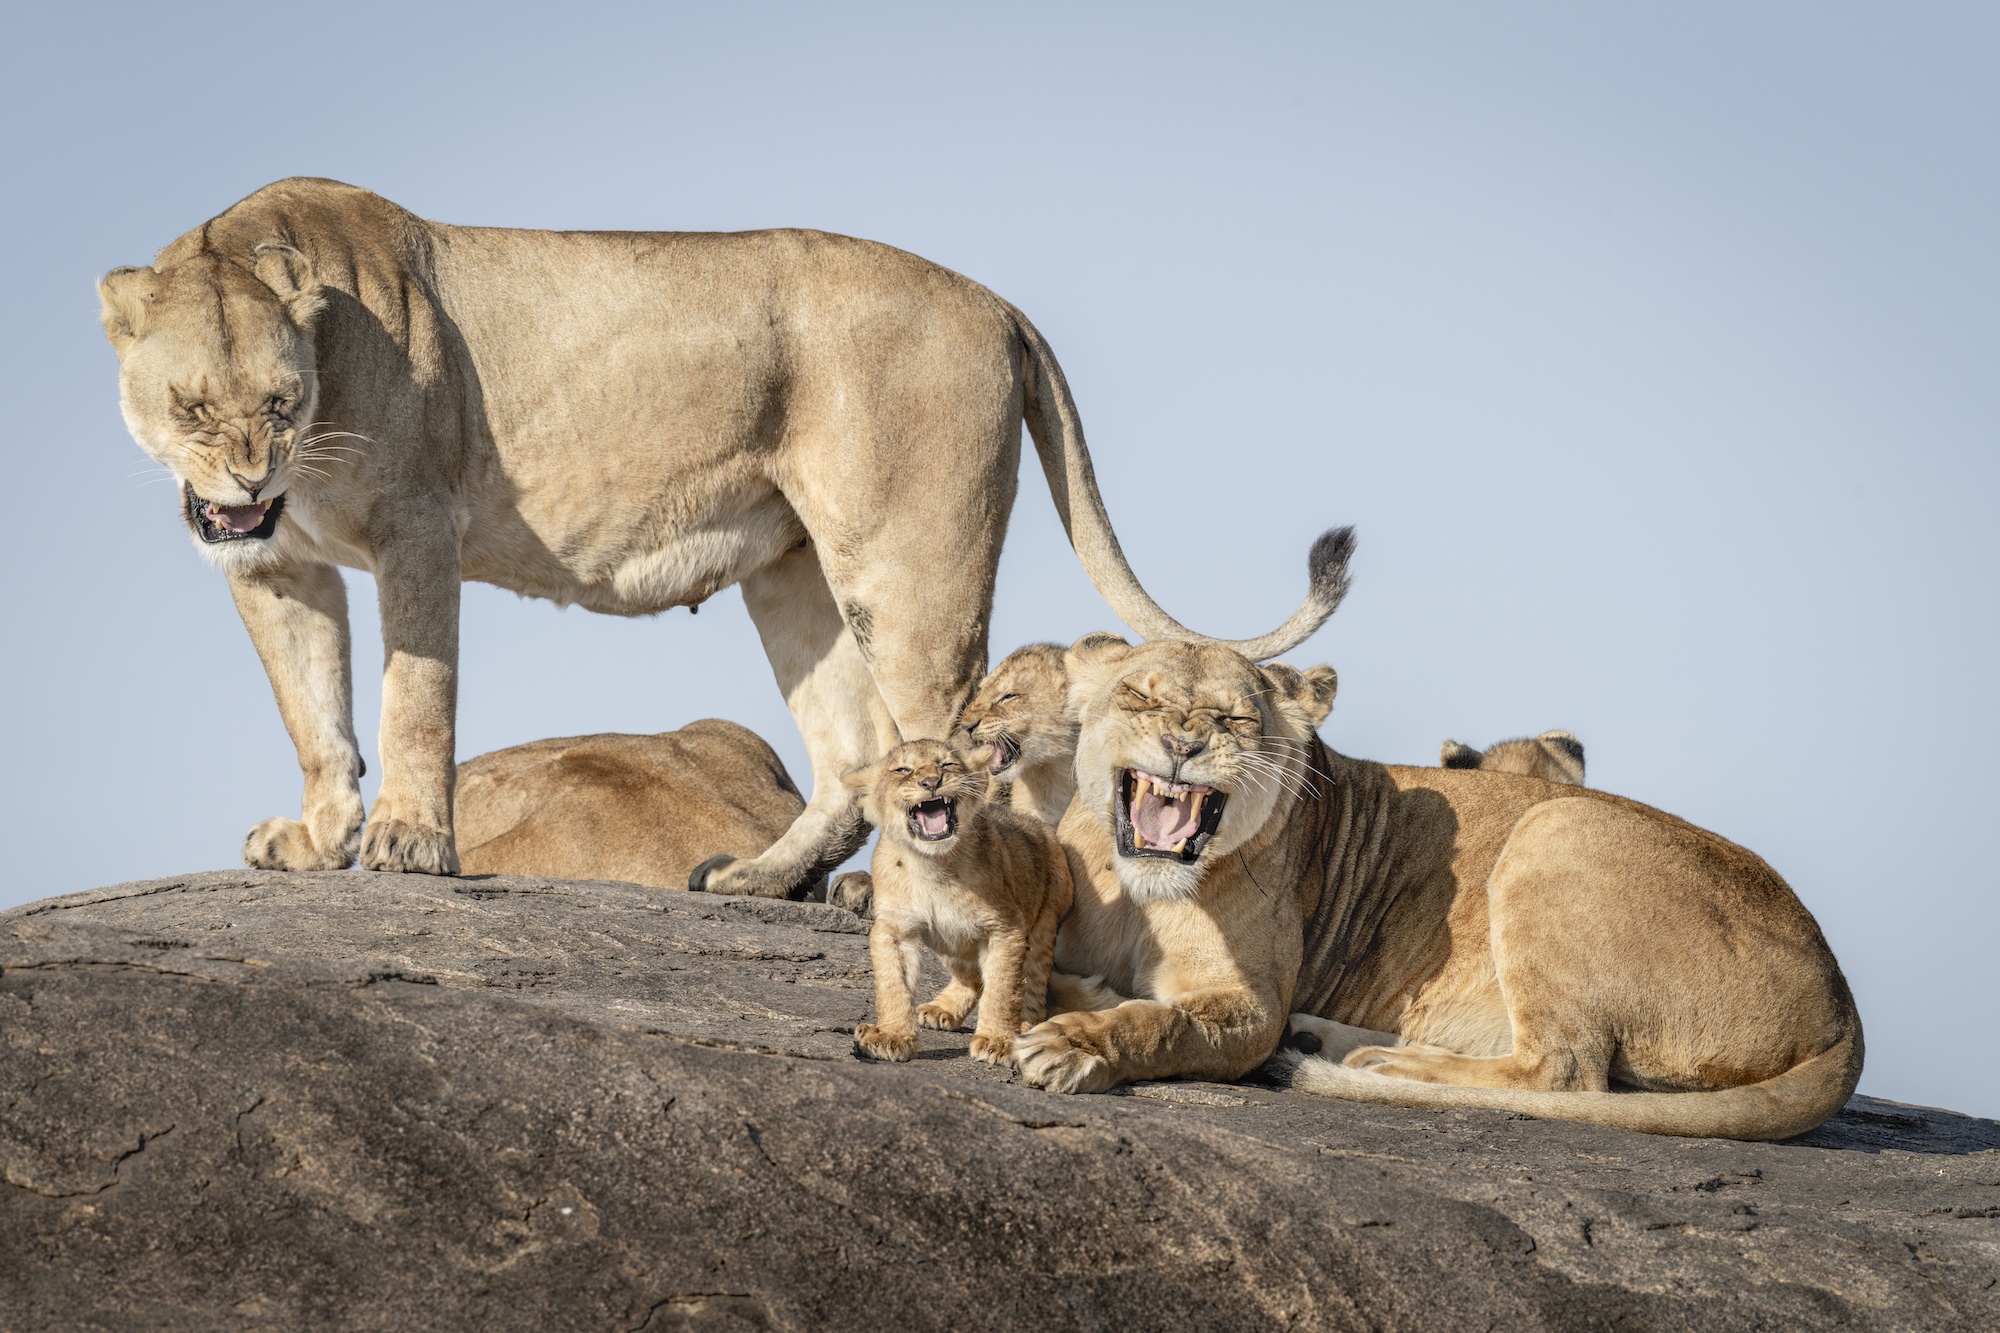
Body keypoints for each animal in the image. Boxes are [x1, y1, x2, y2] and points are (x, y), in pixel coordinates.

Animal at [844, 739, 1072, 1065]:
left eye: (947, 765)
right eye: (902, 770)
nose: (931, 782)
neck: (933, 865)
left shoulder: (1005, 929)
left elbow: (1002, 988)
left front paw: (997, 1041)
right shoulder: (894, 929)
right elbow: (893, 985)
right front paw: (891, 1036)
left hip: (1045, 921)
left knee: (1031, 981)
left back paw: (1024, 1025)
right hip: (951, 943)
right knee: (972, 976)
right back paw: (943, 1009)